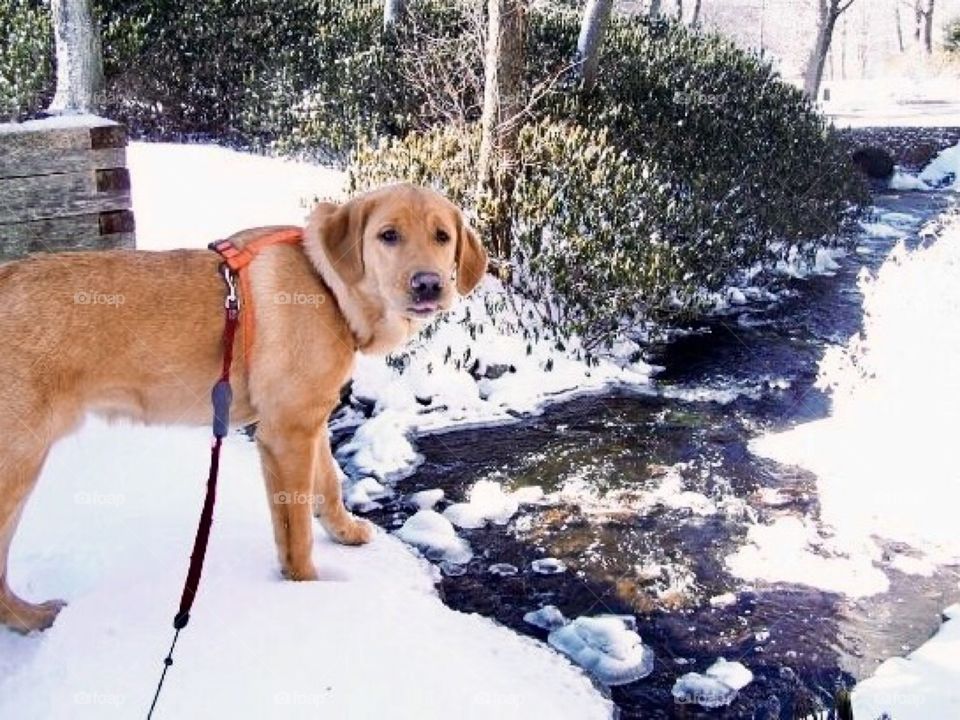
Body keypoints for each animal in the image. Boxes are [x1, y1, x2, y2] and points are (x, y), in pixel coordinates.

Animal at [0, 183, 484, 632]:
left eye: (442, 236)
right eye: (388, 235)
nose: (429, 284)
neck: (327, 286)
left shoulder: (310, 420)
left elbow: (328, 483)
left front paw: (344, 532)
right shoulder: (286, 434)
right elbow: (297, 534)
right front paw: (308, 592)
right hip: (18, 464)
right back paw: (30, 617)